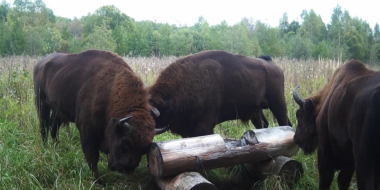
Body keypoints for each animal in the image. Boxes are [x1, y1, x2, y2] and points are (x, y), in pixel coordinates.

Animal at [33, 49, 167, 186]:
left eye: (144, 149)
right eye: (124, 144)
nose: (124, 169)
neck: (111, 91)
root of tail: (40, 64)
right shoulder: (87, 132)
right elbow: (92, 156)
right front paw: (99, 181)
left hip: (58, 111)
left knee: (54, 128)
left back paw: (56, 148)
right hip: (41, 103)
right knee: (44, 126)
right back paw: (45, 147)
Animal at [148, 49, 290, 137]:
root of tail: (273, 65)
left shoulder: (204, 127)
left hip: (278, 104)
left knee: (285, 123)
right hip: (256, 111)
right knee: (263, 125)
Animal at [294, 59, 380, 190]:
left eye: (299, 115)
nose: (296, 138)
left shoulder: (325, 152)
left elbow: (325, 179)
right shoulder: (349, 164)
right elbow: (343, 181)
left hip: (364, 164)